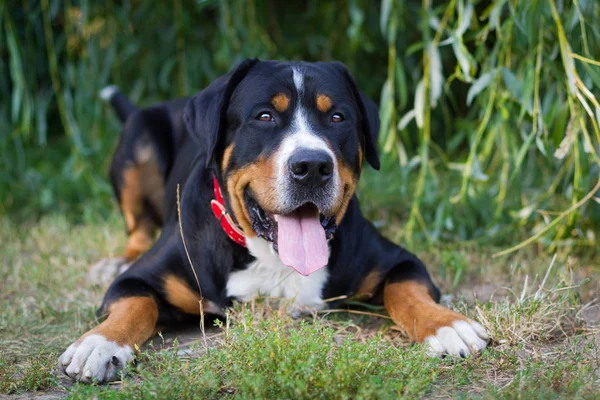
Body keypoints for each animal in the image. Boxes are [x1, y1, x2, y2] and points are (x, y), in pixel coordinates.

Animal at [57, 58, 488, 382]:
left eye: (337, 117)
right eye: (264, 116)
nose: (312, 166)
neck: (270, 257)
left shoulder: (398, 260)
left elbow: (407, 291)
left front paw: (448, 325)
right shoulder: (140, 279)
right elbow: (135, 304)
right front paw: (98, 344)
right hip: (139, 141)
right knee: (136, 228)